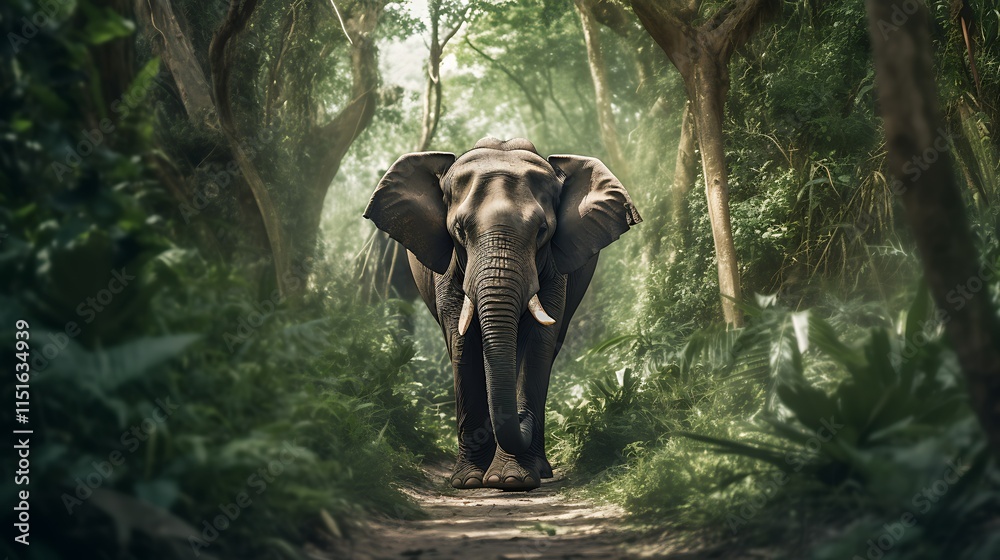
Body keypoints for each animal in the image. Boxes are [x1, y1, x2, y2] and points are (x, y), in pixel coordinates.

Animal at [364, 137, 641, 491]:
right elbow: (462, 342)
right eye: (459, 230)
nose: (523, 418)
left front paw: (511, 480)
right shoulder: (449, 268)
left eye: (542, 231)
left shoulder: (554, 269)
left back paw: (538, 468)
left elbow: (538, 345)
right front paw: (468, 481)